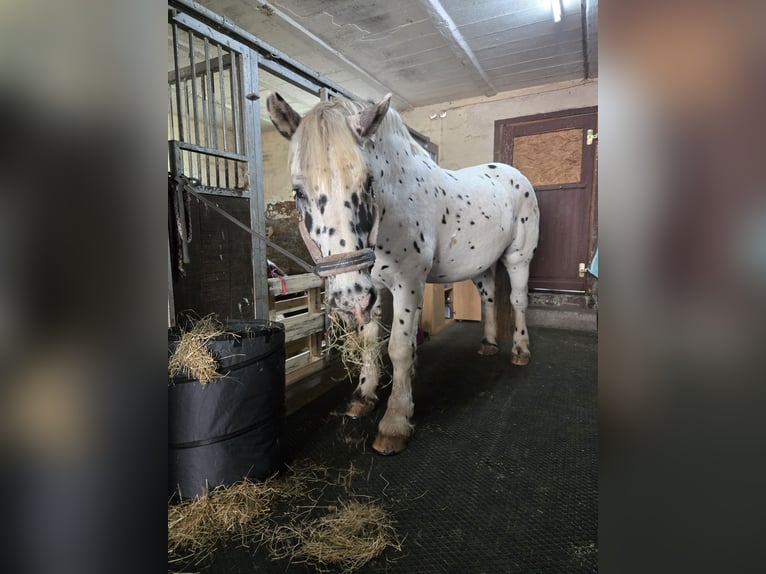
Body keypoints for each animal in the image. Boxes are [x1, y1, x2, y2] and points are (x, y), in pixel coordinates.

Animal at [268, 92, 540, 456]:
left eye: (368, 183)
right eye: (298, 192)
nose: (349, 300)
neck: (393, 207)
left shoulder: (407, 284)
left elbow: (399, 348)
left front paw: (395, 421)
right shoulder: (373, 289)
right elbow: (371, 343)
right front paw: (364, 396)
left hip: (519, 258)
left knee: (519, 300)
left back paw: (520, 351)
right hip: (480, 265)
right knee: (490, 298)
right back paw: (489, 344)